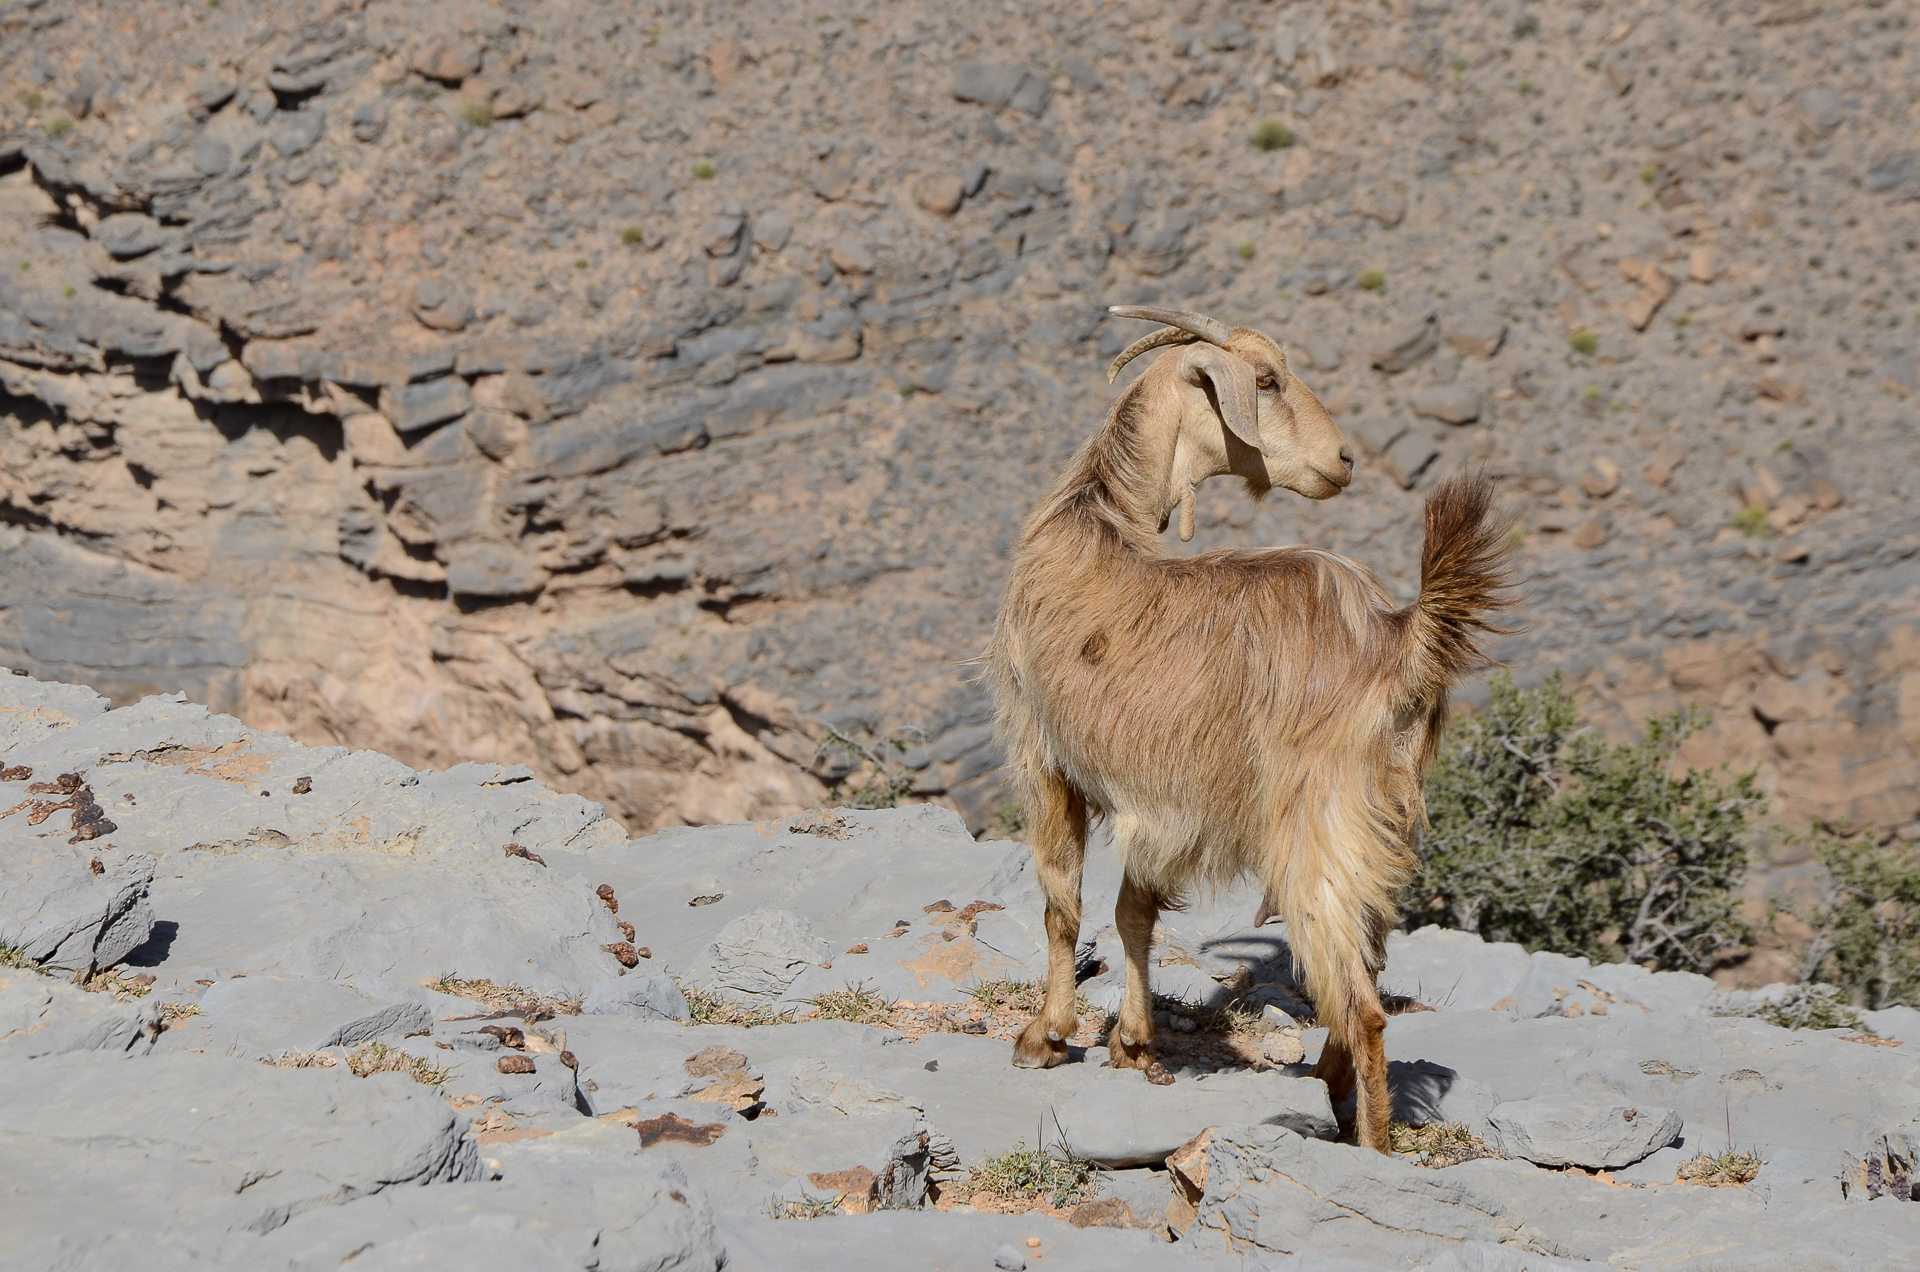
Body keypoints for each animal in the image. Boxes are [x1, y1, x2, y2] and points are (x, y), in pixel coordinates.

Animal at [990, 303, 1512, 1152]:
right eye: (1265, 380)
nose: (1343, 460)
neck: (1095, 514)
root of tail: (1397, 635)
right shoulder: (1160, 802)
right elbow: (1133, 914)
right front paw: (1133, 1043)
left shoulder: (1045, 757)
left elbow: (1062, 901)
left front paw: (1046, 1036)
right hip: (1380, 819)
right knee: (1366, 959)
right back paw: (1330, 1084)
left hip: (1316, 823)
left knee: (1363, 1003)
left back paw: (1370, 1143)